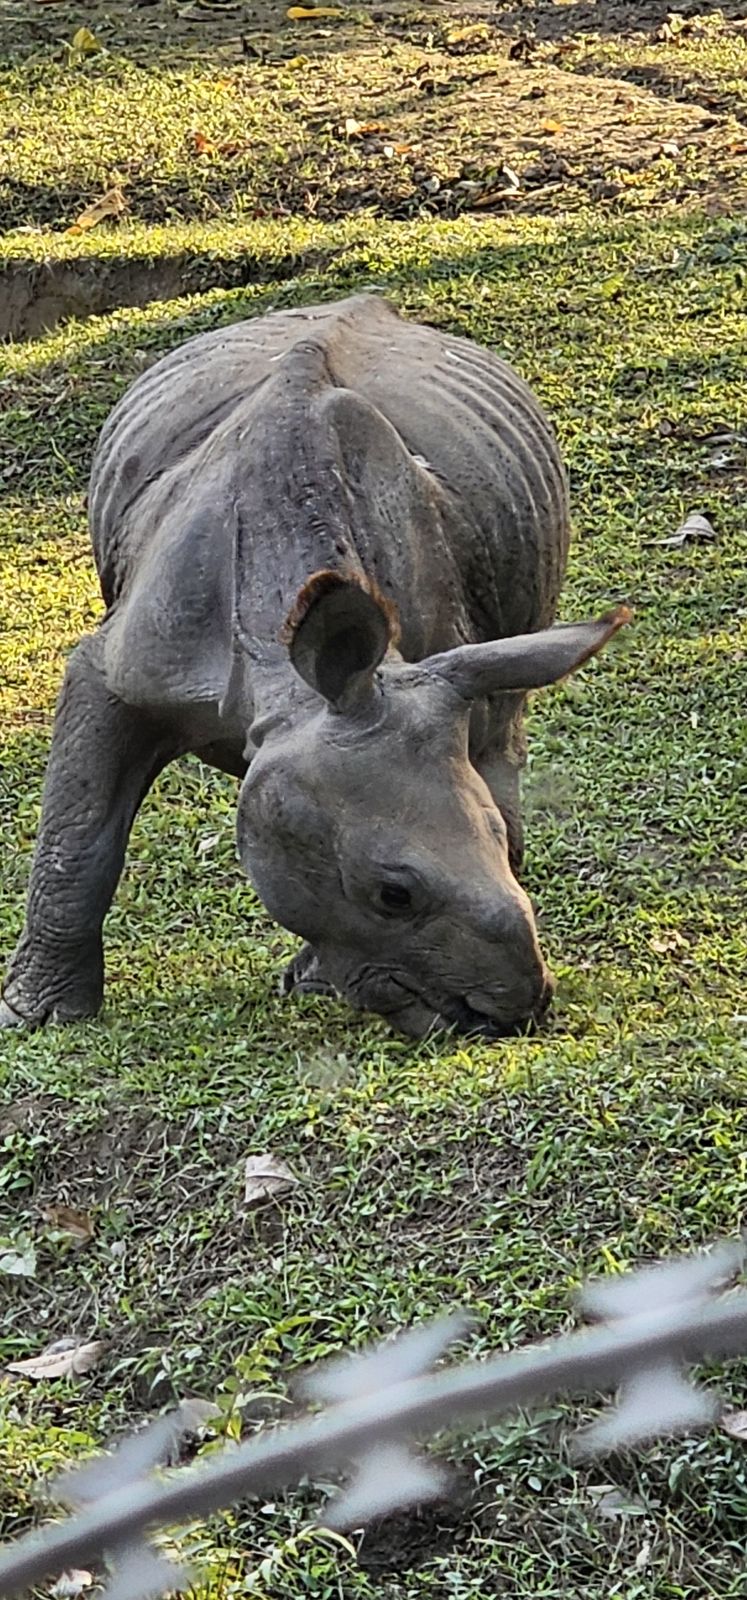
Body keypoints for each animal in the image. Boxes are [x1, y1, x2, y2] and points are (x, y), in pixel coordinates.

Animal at [1, 293, 628, 1041]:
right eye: (393, 895)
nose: (511, 1012)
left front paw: (325, 983)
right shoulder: (117, 669)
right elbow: (81, 828)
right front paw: (37, 1016)